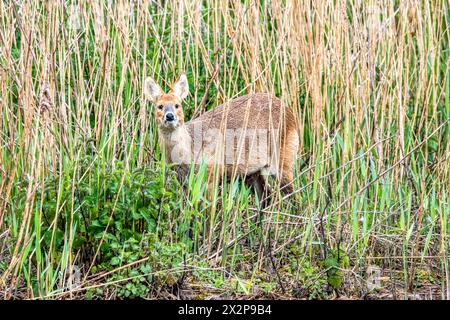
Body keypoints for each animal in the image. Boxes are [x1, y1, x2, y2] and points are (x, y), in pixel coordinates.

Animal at [144, 74, 298, 208]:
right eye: (160, 106)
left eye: (177, 105)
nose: (170, 116)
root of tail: (290, 113)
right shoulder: (184, 181)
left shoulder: (212, 173)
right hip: (250, 172)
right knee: (266, 195)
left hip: (283, 158)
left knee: (294, 195)